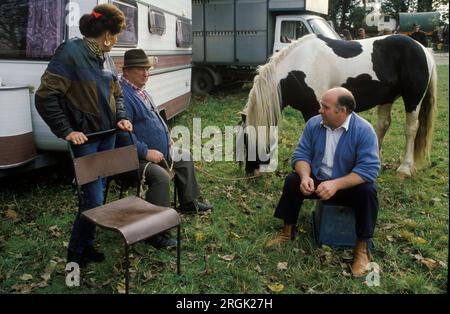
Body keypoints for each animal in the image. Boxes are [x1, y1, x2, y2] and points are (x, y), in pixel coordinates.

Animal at [243, 35, 436, 177]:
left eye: (246, 139)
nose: (250, 172)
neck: (300, 67)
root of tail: (422, 48)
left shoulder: (313, 110)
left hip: (413, 99)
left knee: (411, 128)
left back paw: (405, 168)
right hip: (386, 98)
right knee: (383, 125)